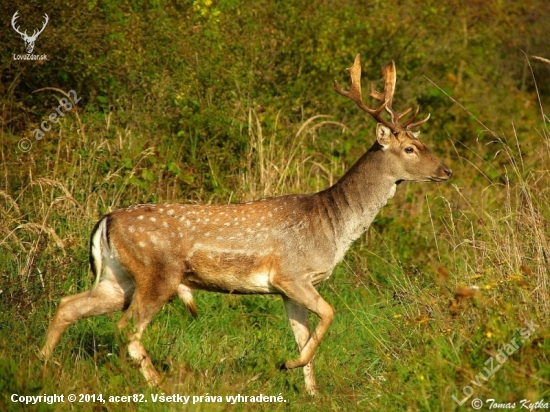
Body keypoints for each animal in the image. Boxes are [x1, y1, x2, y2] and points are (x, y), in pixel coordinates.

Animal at [42, 54, 452, 392]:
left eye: (423, 141)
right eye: (410, 148)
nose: (446, 170)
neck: (332, 225)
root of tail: (105, 220)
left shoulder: (288, 289)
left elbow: (303, 335)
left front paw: (309, 389)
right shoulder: (291, 274)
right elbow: (329, 315)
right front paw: (288, 365)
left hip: (118, 277)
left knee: (69, 304)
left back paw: (42, 363)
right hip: (157, 272)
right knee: (127, 326)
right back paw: (158, 383)